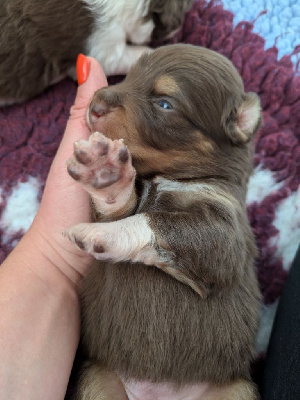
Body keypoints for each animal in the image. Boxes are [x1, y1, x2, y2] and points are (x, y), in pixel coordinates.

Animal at [66, 44, 262, 400]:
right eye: (129, 75)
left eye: (164, 103)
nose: (95, 103)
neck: (168, 177)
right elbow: (121, 205)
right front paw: (104, 170)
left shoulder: (226, 237)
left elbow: (155, 221)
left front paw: (102, 234)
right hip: (96, 379)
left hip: (237, 388)